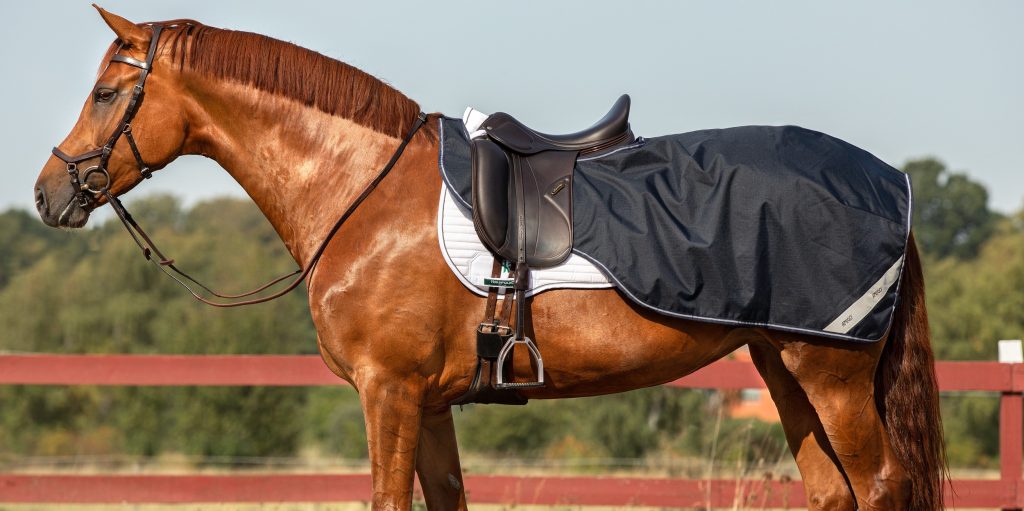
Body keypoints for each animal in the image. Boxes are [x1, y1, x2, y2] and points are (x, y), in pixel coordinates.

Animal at [32, 8, 942, 511]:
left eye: (108, 94)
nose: (48, 192)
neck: (363, 192)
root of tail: (883, 178)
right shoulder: (429, 403)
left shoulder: (390, 393)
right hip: (783, 366)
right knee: (832, 491)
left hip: (830, 374)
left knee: (882, 487)